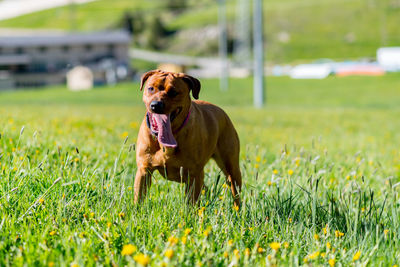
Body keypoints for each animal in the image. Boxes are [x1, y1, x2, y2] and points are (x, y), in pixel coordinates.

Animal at [134, 70, 242, 206]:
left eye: (173, 92)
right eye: (151, 88)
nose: (156, 105)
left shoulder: (193, 173)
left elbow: (191, 202)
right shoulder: (144, 170)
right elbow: (139, 199)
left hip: (231, 167)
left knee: (235, 190)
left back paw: (237, 209)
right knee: (206, 188)